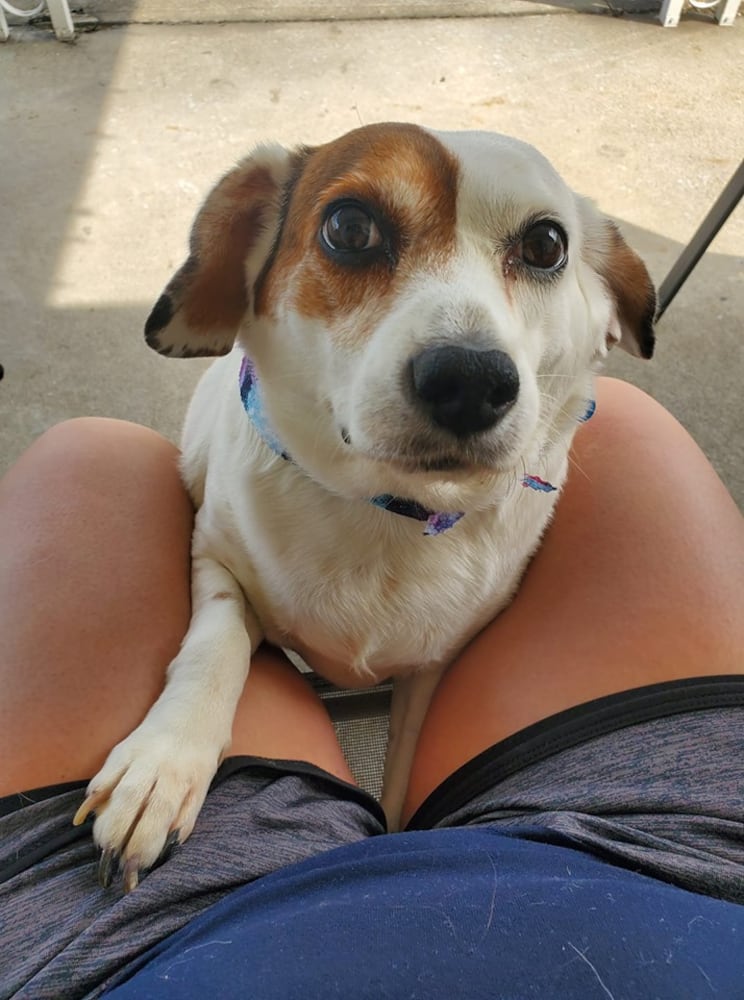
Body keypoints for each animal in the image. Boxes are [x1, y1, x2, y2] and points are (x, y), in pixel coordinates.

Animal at [74, 121, 656, 888]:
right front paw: (164, 763)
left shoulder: (433, 669)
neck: (388, 513)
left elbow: (404, 765)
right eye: (349, 227)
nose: (471, 379)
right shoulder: (215, 560)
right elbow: (216, 643)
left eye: (545, 245)